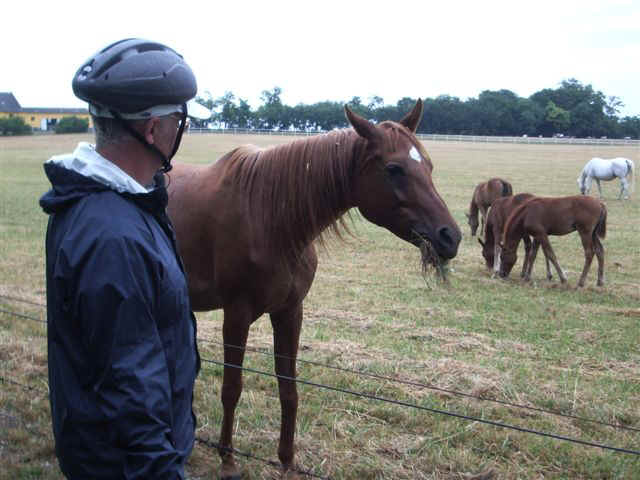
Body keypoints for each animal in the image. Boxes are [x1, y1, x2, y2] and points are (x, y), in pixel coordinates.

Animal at [165, 99, 460, 478]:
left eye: (429, 165)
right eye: (394, 169)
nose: (450, 236)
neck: (268, 217)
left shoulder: (290, 312)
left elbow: (289, 390)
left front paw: (287, 460)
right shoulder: (237, 314)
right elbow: (232, 388)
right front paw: (228, 458)